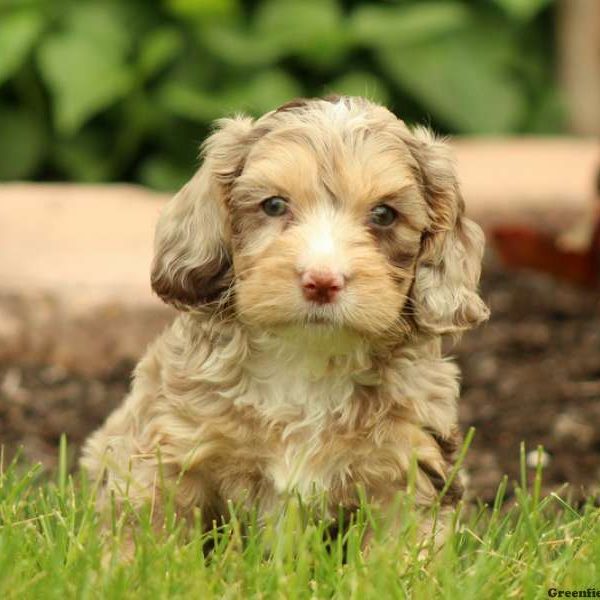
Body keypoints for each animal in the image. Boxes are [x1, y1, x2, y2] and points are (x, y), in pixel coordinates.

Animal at [82, 95, 490, 548]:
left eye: (384, 214)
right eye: (274, 205)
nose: (322, 281)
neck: (307, 361)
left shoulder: (410, 465)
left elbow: (403, 549)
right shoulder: (168, 449)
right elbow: (146, 533)